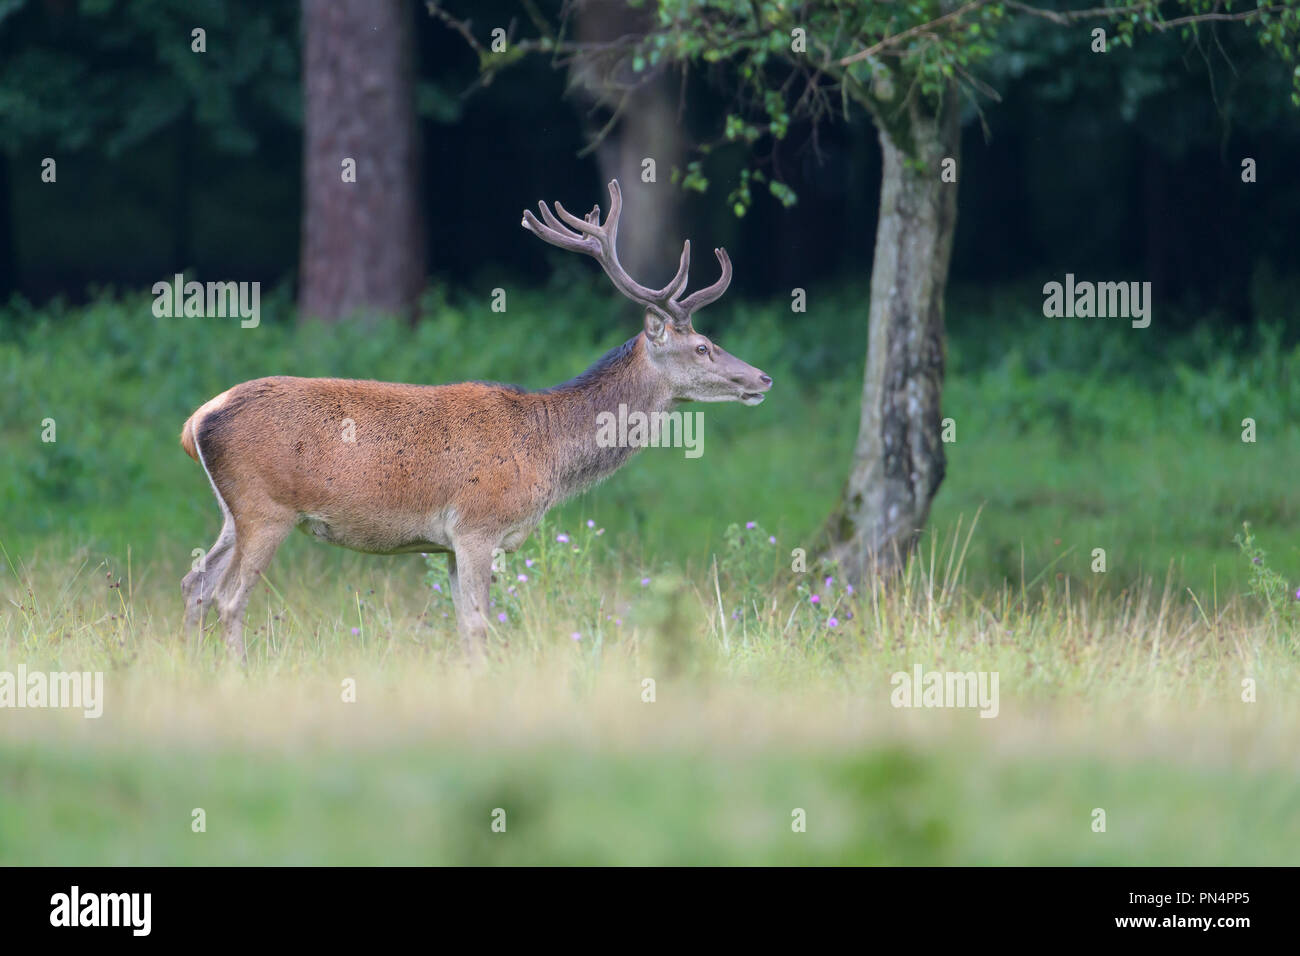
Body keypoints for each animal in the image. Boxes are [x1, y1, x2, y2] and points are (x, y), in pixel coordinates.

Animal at [182, 183, 769, 671]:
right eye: (703, 346)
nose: (761, 377)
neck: (549, 450)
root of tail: (195, 421)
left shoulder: (447, 543)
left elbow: (464, 625)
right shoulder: (477, 527)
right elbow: (481, 624)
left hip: (233, 513)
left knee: (195, 583)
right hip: (266, 508)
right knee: (229, 599)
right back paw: (237, 676)